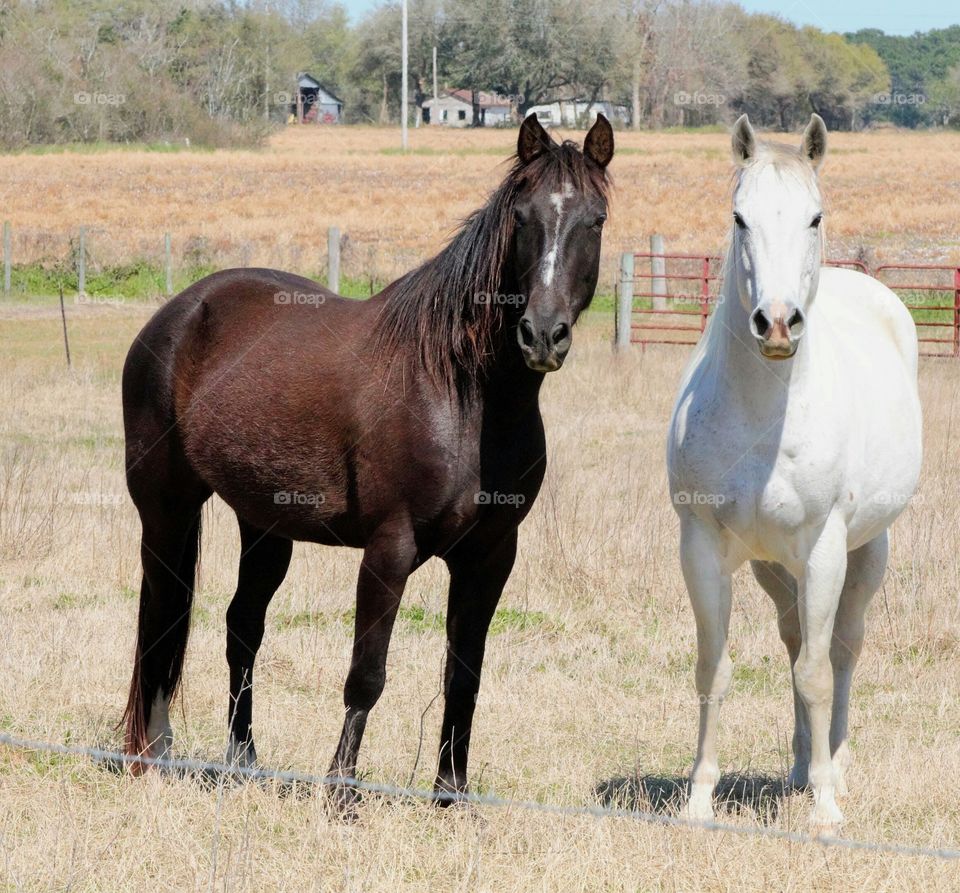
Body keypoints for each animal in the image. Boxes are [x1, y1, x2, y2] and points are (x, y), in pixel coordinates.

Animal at [122, 115, 616, 804]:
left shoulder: (491, 556)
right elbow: (367, 673)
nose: (542, 335)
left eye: (594, 220)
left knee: (241, 626)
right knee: (162, 621)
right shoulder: (391, 547)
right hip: (166, 511)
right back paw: (154, 753)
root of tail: (177, 312)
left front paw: (450, 794)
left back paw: (244, 760)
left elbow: (463, 675)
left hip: (264, 525)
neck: (462, 394)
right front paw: (341, 791)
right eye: (522, 217)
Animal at [668, 115, 924, 832]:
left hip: (866, 552)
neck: (765, 418)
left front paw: (826, 809)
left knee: (839, 650)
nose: (778, 323)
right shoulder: (702, 546)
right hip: (770, 565)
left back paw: (831, 767)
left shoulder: (824, 549)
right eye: (739, 217)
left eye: (815, 216)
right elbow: (714, 667)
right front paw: (698, 799)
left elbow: (816, 671)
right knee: (792, 640)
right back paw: (800, 765)